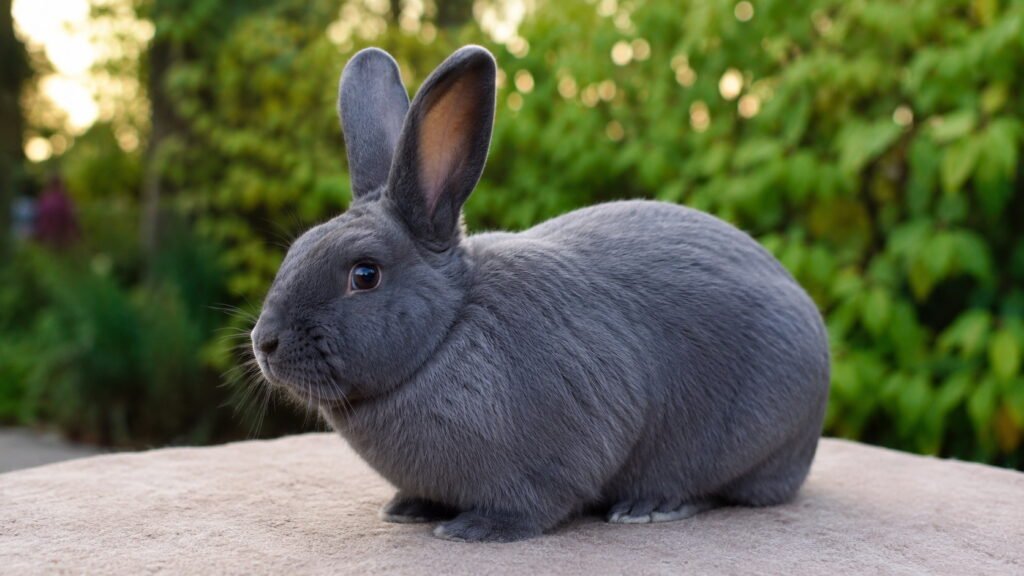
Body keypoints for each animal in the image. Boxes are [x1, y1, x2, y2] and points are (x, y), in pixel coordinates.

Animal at [250, 45, 830, 543]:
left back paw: (649, 507)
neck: (449, 330)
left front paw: (473, 529)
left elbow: (533, 503)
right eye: (298, 248)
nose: (264, 342)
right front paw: (407, 509)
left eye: (365, 274)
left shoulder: (562, 450)